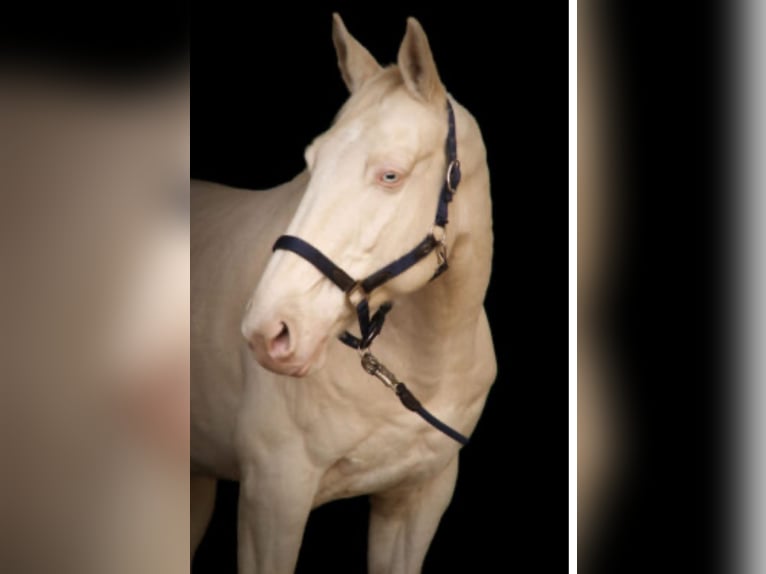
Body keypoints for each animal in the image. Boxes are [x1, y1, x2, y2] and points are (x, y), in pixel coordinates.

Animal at [191, 15, 496, 573]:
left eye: (391, 174)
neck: (427, 361)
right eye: (312, 163)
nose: (269, 330)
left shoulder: (418, 499)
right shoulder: (273, 499)